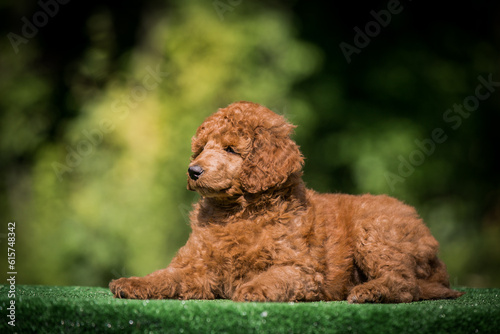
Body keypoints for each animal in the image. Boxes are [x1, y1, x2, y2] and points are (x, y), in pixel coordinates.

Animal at [110, 101, 464, 302]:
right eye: (201, 148)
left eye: (230, 149)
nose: (193, 170)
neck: (237, 213)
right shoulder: (196, 265)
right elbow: (166, 276)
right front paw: (133, 282)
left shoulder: (302, 270)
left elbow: (275, 276)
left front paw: (253, 289)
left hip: (376, 233)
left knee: (405, 284)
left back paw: (368, 292)